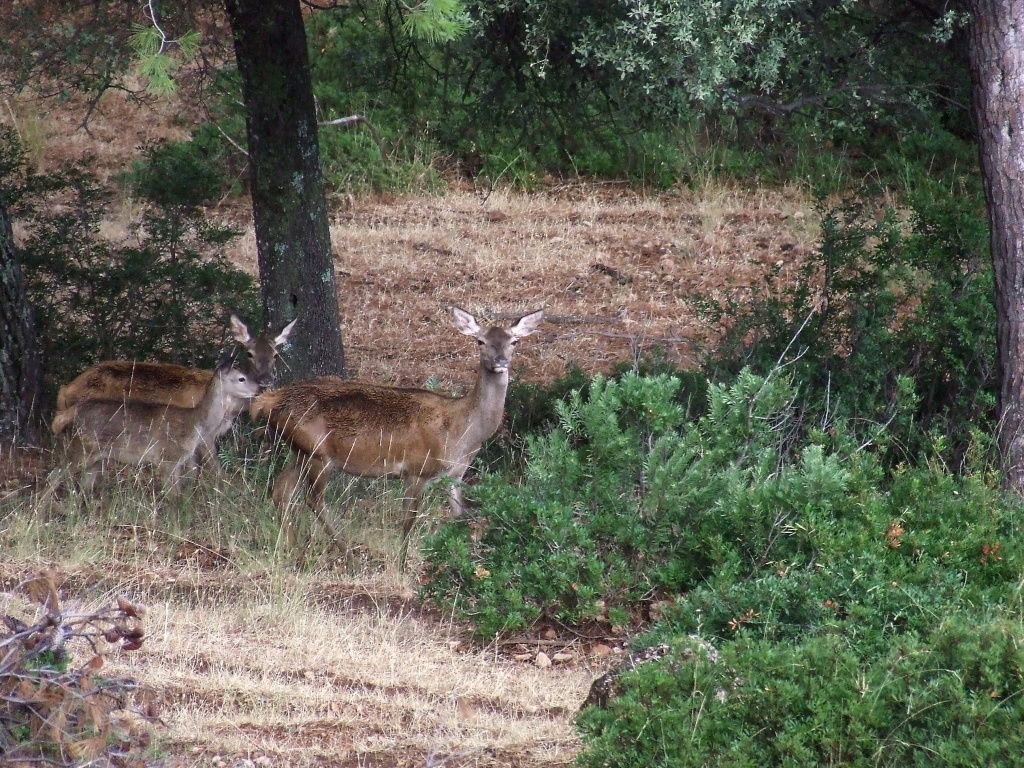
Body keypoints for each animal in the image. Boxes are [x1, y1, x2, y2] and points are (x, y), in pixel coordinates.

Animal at [50, 315, 296, 466]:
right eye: (250, 353)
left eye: (275, 355)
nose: (265, 379)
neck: (229, 409)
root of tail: (65, 391)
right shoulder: (203, 435)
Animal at [249, 309, 544, 573]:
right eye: (480, 341)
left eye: (514, 341)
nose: (501, 361)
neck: (461, 432)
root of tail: (269, 402)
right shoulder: (416, 468)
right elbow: (408, 520)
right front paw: (401, 566)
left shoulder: (455, 475)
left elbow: (459, 517)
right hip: (317, 454)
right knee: (312, 499)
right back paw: (349, 558)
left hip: (299, 451)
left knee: (280, 490)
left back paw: (296, 553)